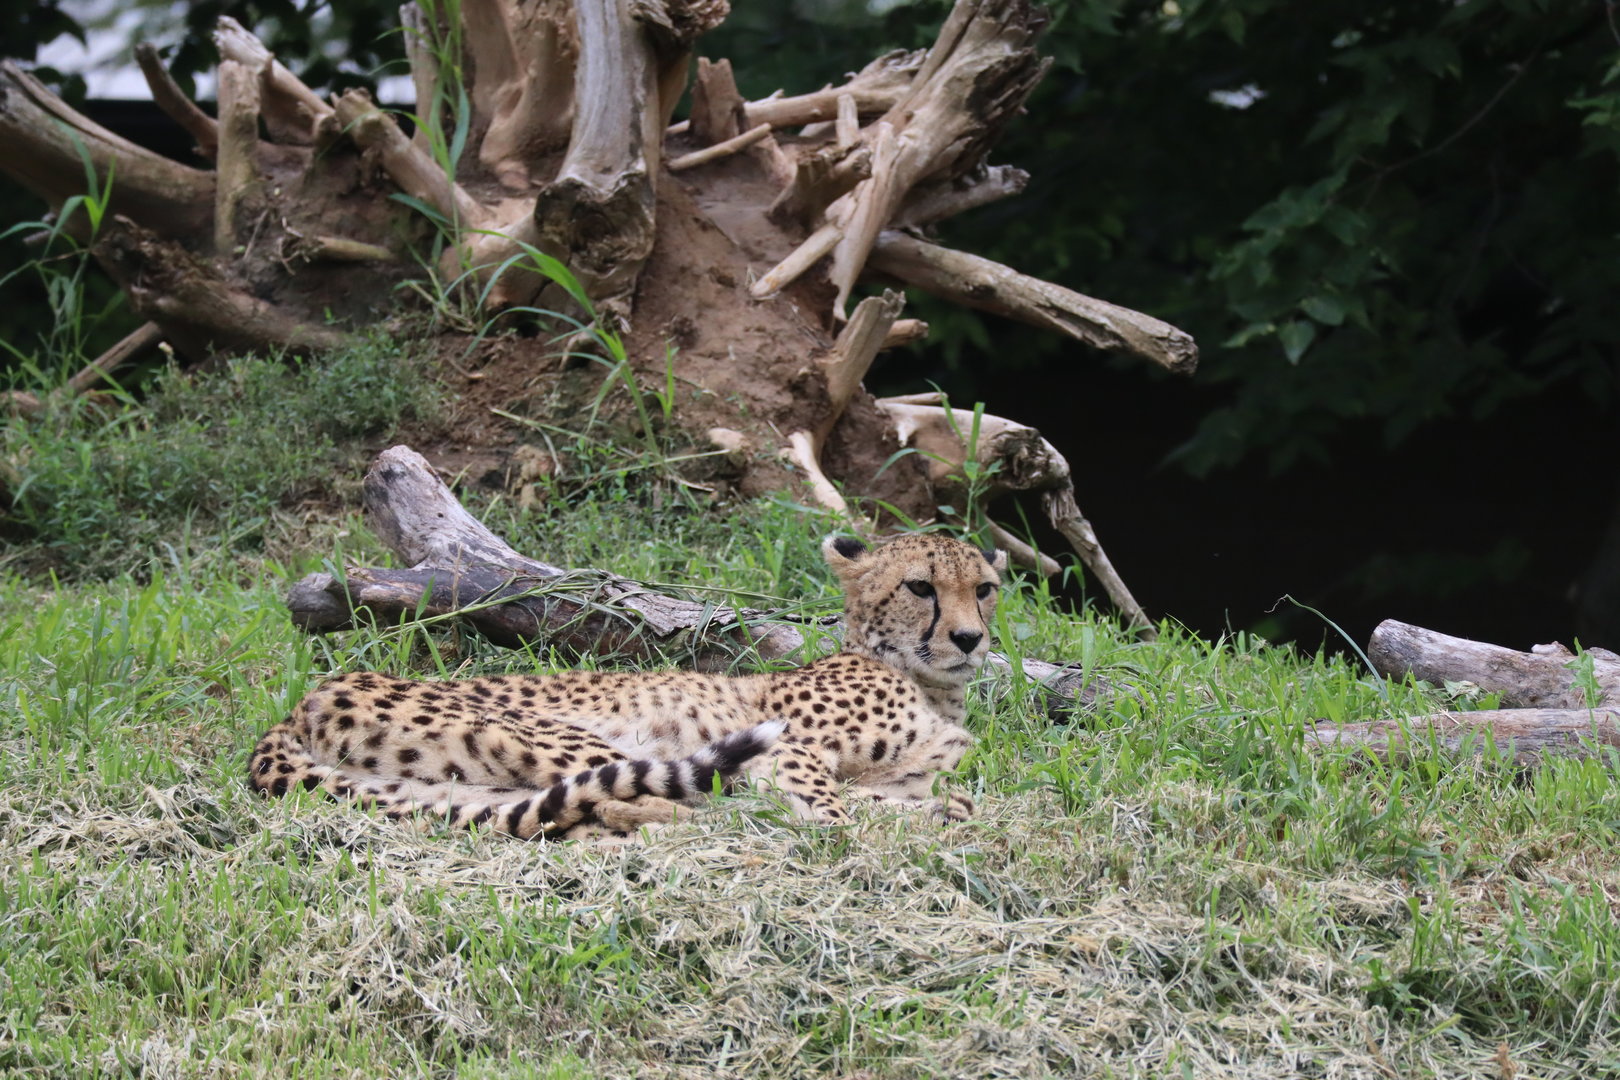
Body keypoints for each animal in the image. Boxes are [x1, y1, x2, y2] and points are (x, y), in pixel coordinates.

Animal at [248, 532, 1006, 840]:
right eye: (921, 587)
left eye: (986, 590)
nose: (970, 639)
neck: (925, 682)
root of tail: (304, 702)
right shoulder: (791, 748)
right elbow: (831, 808)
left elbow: (912, 798)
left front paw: (936, 811)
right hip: (576, 740)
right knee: (636, 805)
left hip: (446, 791)